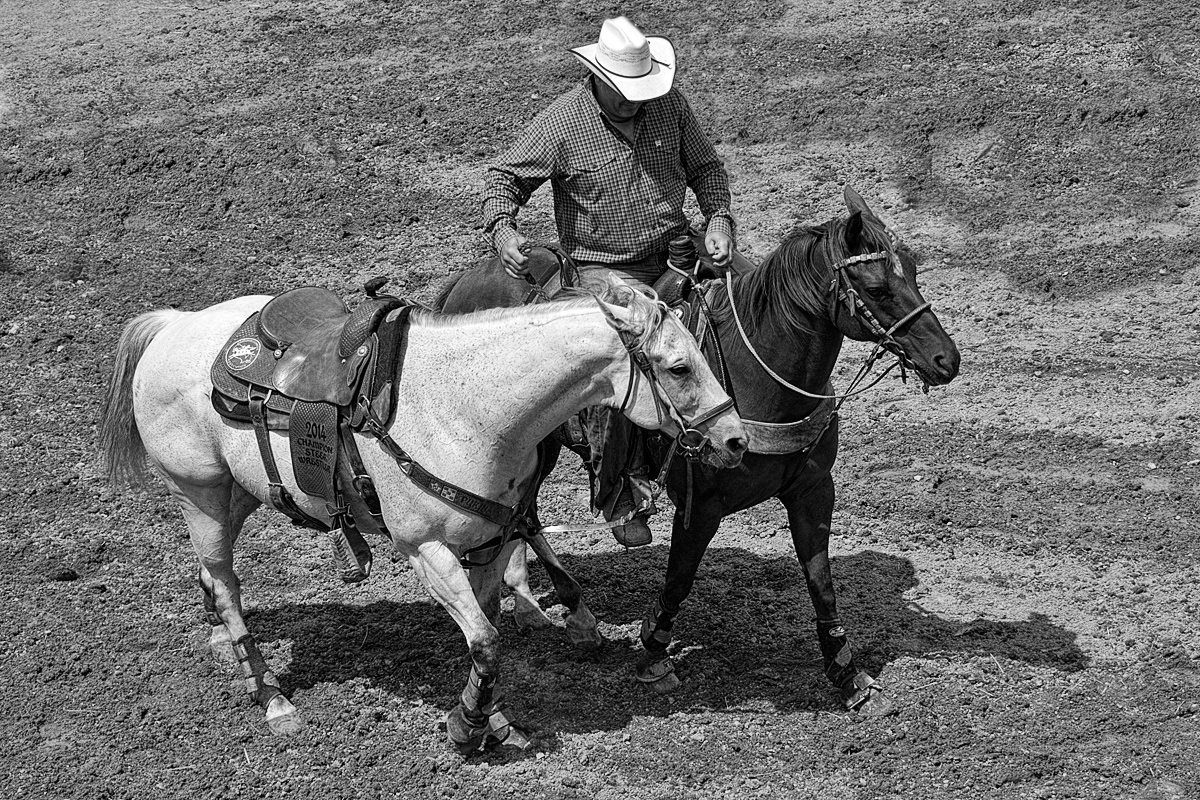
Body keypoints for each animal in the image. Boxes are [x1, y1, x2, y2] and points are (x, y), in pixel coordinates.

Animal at [98, 278, 744, 753]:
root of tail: (174, 324)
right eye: (679, 367)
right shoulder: (426, 550)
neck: (467, 405)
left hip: (240, 492)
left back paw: (221, 640)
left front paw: (492, 719)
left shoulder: (488, 544)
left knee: (213, 575)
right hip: (200, 492)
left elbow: (488, 631)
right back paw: (271, 695)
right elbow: (485, 640)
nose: (736, 440)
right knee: (227, 583)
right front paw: (467, 726)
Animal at [436, 188, 960, 714]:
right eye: (876, 288)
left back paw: (527, 600)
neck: (757, 376)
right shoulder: (700, 505)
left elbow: (822, 585)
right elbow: (679, 581)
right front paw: (654, 653)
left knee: (519, 513)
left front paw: (849, 674)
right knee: (524, 514)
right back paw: (576, 612)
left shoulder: (813, 492)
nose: (946, 360)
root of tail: (463, 281)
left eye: (913, 270)